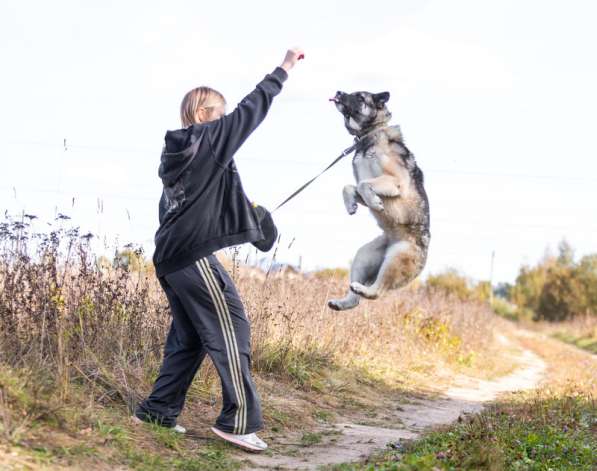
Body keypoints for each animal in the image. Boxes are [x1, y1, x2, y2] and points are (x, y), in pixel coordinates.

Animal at [326, 90, 428, 312]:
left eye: (359, 96)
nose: (338, 92)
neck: (370, 135)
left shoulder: (396, 181)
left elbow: (365, 184)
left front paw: (375, 203)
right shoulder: (366, 184)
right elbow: (350, 187)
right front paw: (352, 204)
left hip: (395, 259)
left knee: (377, 292)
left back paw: (364, 290)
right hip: (364, 256)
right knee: (355, 299)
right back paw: (343, 301)